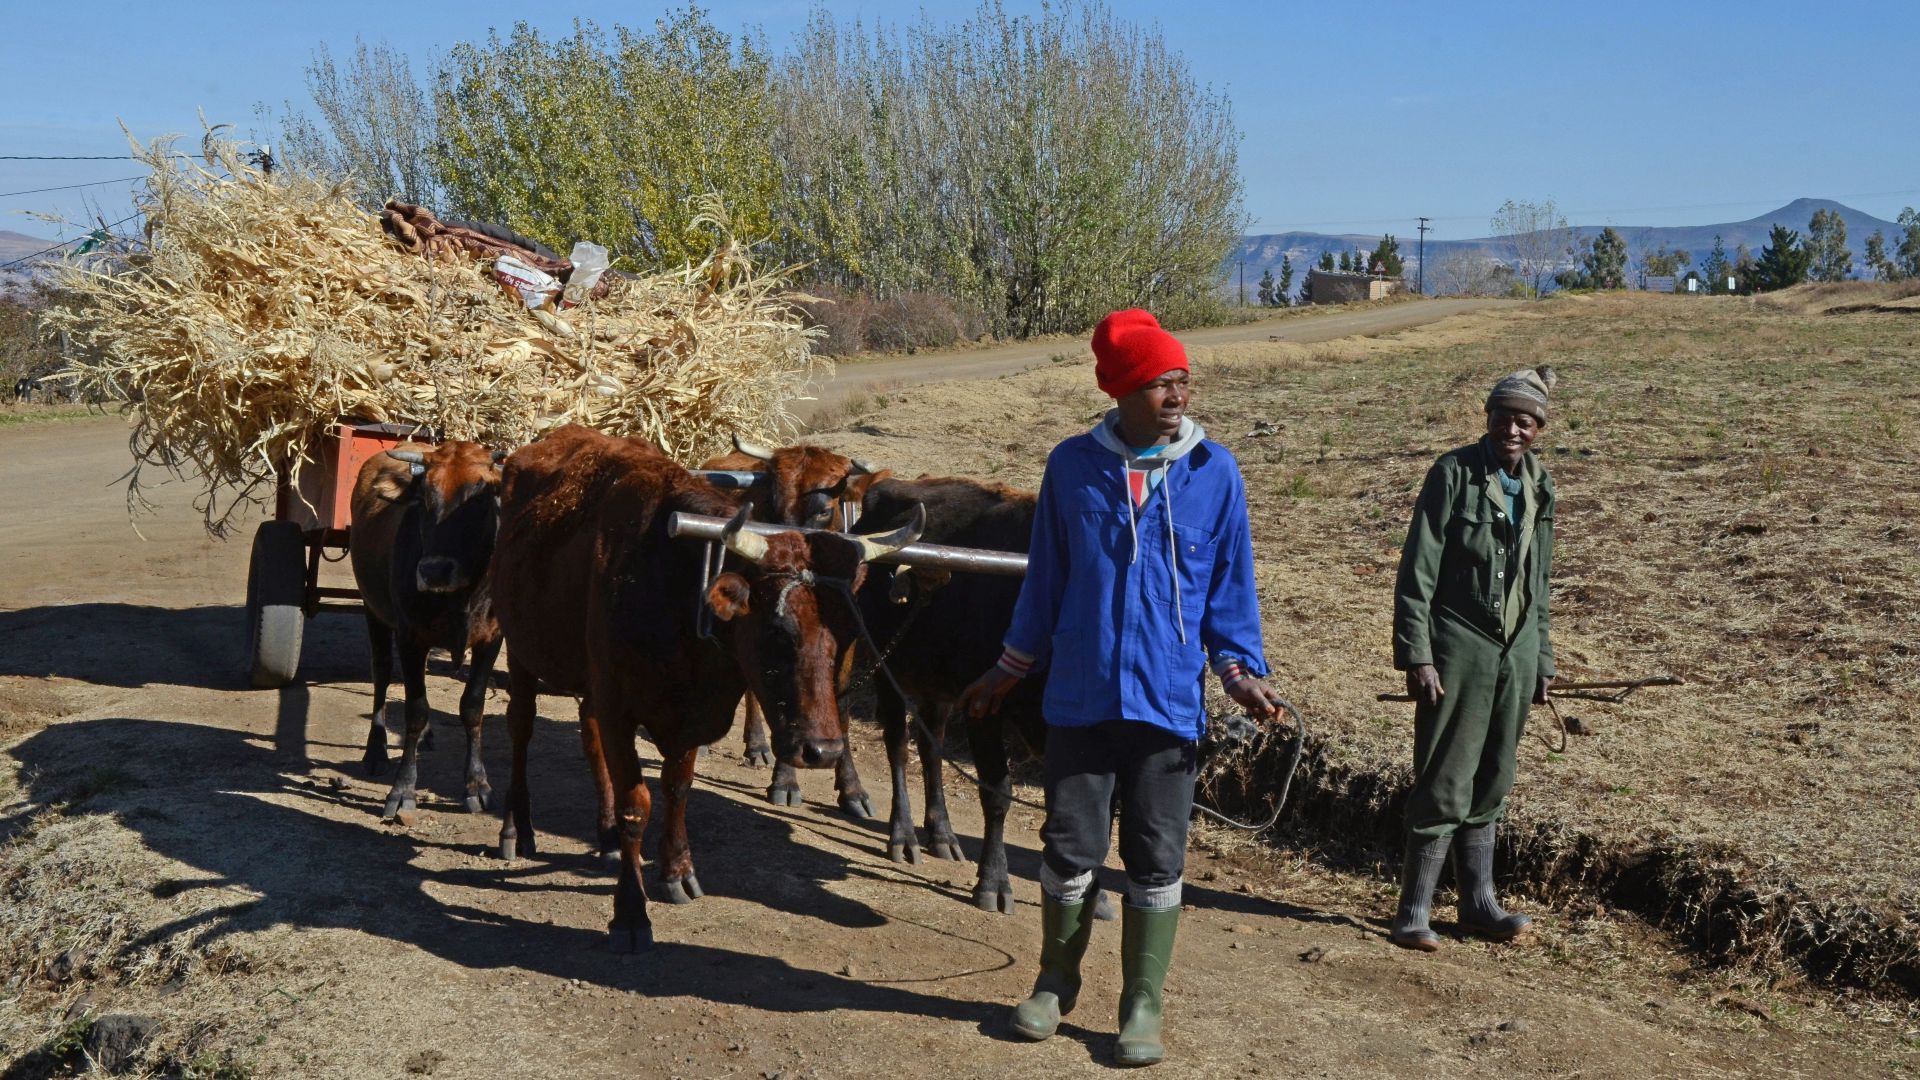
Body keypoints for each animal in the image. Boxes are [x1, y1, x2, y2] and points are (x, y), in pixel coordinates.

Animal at [348, 441, 504, 822]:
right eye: (424, 500)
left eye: (481, 497)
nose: (433, 571)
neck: (462, 595)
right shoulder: (410, 637)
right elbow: (415, 710)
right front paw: (403, 791)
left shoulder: (491, 638)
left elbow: (472, 707)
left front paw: (477, 786)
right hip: (373, 608)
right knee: (382, 672)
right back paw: (376, 750)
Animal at [699, 435, 890, 817]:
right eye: (772, 504)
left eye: (824, 508)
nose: (788, 547)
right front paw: (786, 781)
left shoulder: (847, 640)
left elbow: (839, 707)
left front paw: (852, 789)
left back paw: (757, 745)